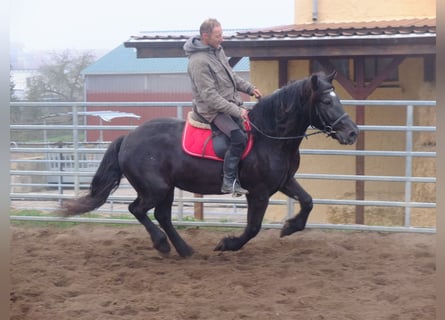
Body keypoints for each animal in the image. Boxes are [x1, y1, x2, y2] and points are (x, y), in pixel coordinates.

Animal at [59, 71, 358, 256]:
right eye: (325, 100)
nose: (352, 132)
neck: (269, 135)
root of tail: (128, 137)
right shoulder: (258, 193)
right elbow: (252, 228)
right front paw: (227, 244)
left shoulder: (284, 182)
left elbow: (308, 202)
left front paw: (289, 227)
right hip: (155, 188)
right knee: (138, 209)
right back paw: (163, 245)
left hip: (166, 188)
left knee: (162, 215)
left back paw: (183, 249)